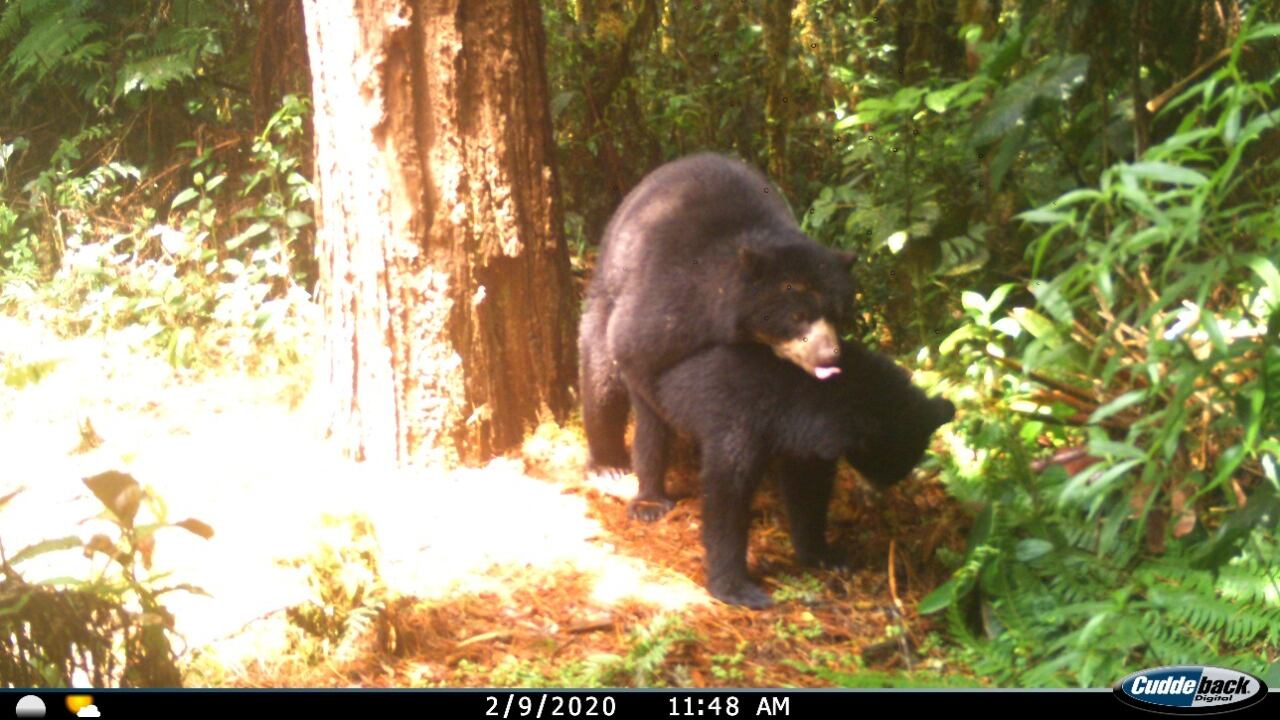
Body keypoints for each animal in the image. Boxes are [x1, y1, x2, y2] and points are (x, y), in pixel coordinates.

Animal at [579, 153, 858, 517]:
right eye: (797, 317)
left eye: (838, 314)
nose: (829, 357)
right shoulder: (672, 304)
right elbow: (634, 357)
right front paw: (651, 498)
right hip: (603, 297)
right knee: (600, 378)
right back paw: (607, 464)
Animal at [645, 338, 956, 608]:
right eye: (883, 462)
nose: (886, 485)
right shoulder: (739, 423)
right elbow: (726, 495)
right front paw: (735, 587)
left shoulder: (806, 445)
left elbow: (807, 492)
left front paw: (825, 555)